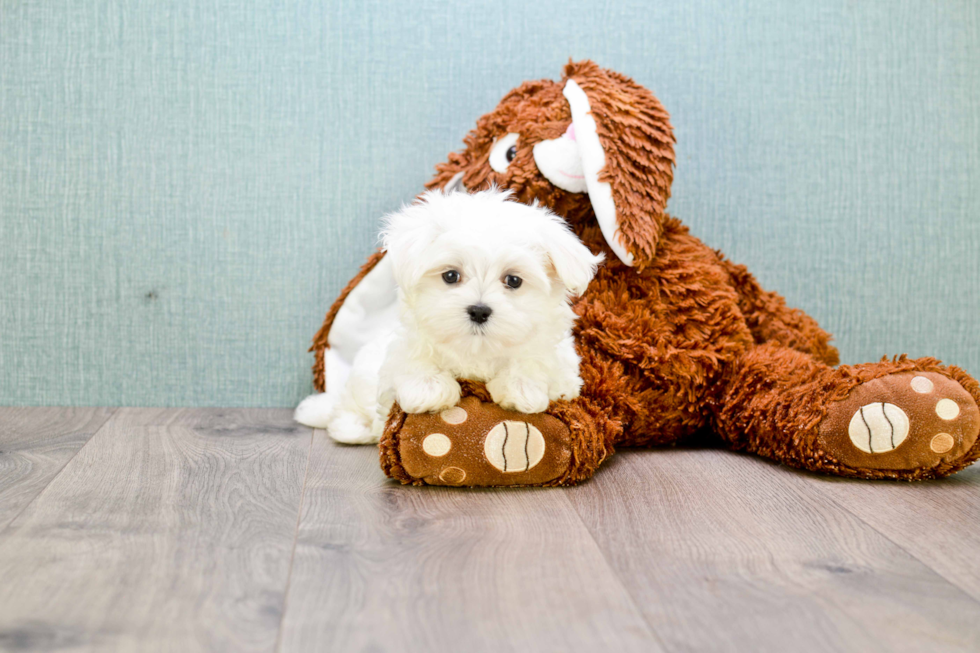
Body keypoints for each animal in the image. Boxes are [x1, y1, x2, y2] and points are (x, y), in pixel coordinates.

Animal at [294, 187, 600, 444]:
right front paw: (429, 387)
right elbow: (411, 361)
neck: (477, 352)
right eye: (451, 276)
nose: (479, 310)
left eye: (513, 281)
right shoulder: (401, 350)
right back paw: (351, 425)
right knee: (345, 412)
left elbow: (536, 362)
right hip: (360, 380)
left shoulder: (564, 371)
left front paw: (522, 386)